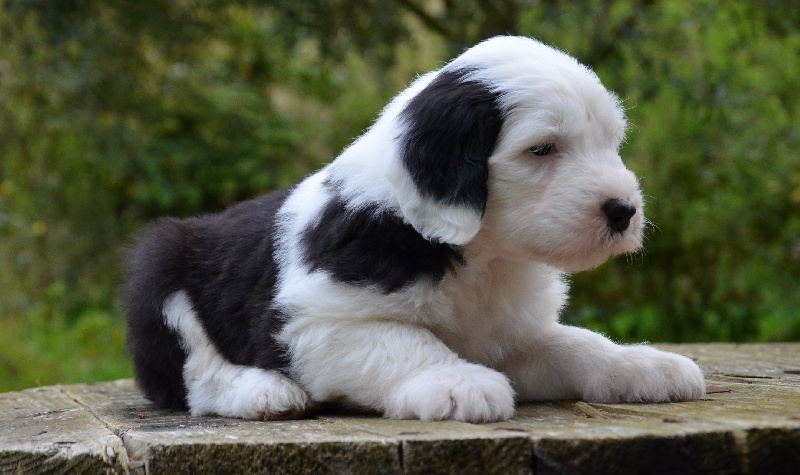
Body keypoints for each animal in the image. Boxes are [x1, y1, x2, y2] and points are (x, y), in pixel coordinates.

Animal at [124, 36, 706, 423]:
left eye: (612, 141)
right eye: (542, 149)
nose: (623, 210)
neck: (484, 257)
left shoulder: (512, 335)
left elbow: (578, 345)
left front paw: (645, 365)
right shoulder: (318, 322)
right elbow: (403, 342)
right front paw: (457, 381)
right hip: (160, 267)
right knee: (193, 378)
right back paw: (263, 391)